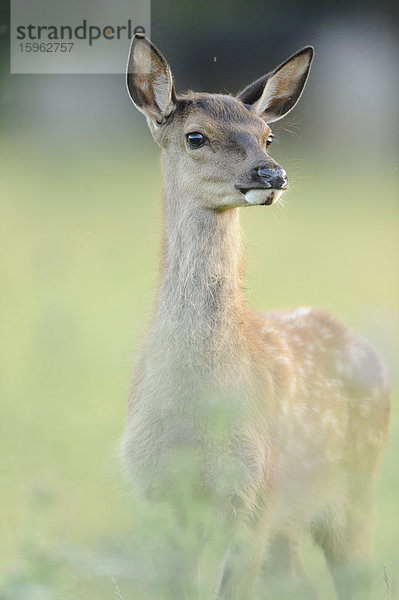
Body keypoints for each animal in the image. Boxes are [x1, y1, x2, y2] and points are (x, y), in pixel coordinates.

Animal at [121, 35, 390, 596]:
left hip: (353, 489)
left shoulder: (255, 493)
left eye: (269, 137)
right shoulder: (156, 492)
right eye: (196, 136)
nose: (272, 174)